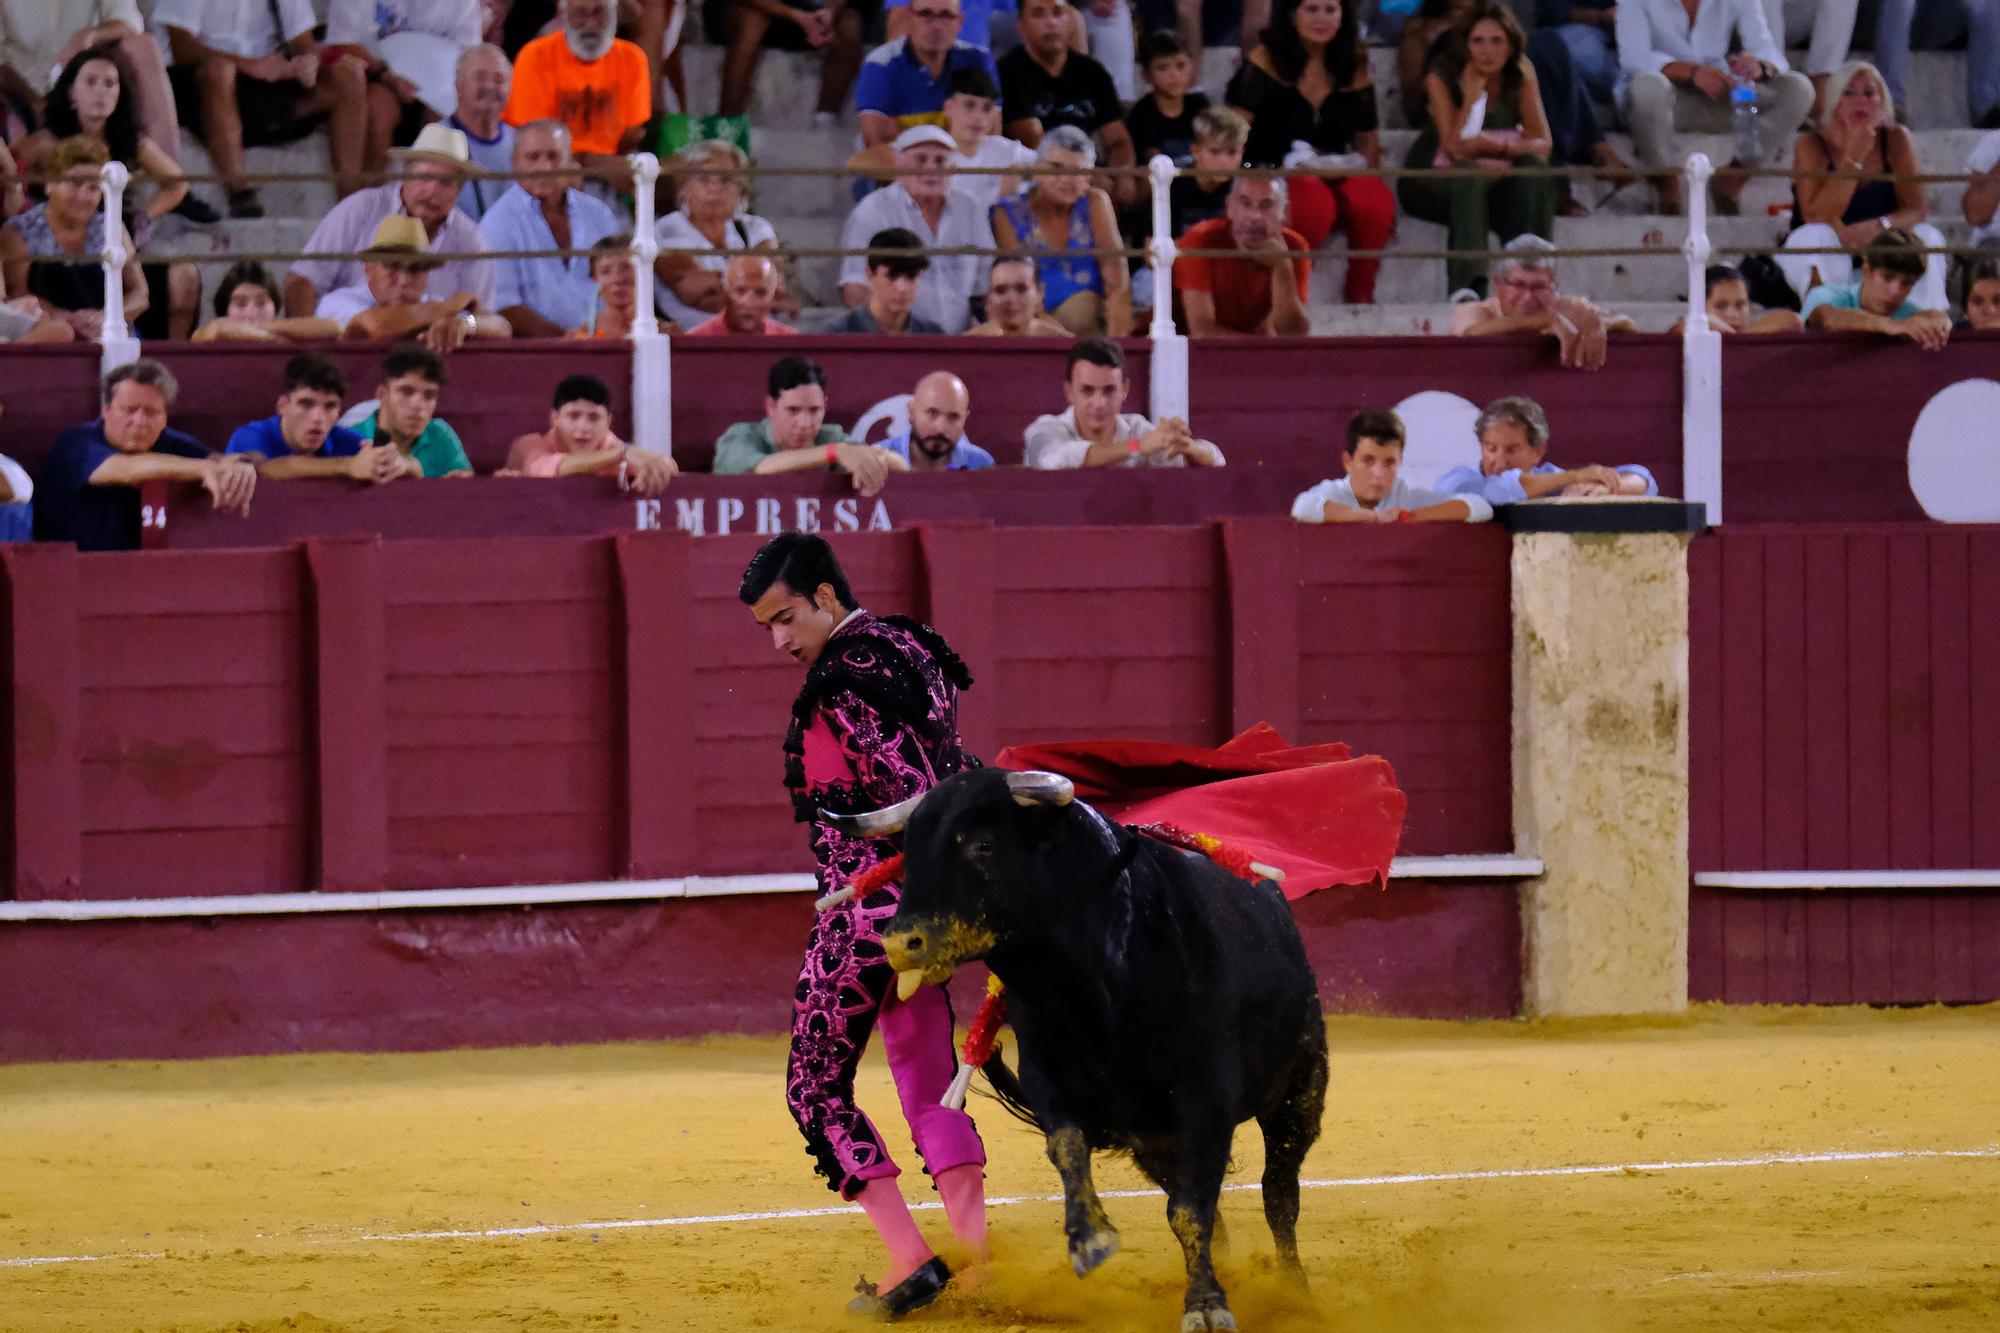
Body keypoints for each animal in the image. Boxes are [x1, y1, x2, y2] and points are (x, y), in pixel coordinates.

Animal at [828, 764, 1328, 1320]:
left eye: (983, 844)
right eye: (908, 854)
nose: (899, 944)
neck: (1089, 992)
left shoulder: (1206, 1098)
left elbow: (1193, 1208)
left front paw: (1205, 1304)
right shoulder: (1051, 1081)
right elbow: (1069, 1148)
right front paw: (1089, 1238)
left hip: (1299, 1092)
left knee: (1277, 1193)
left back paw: (1293, 1289)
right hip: (1154, 1139)